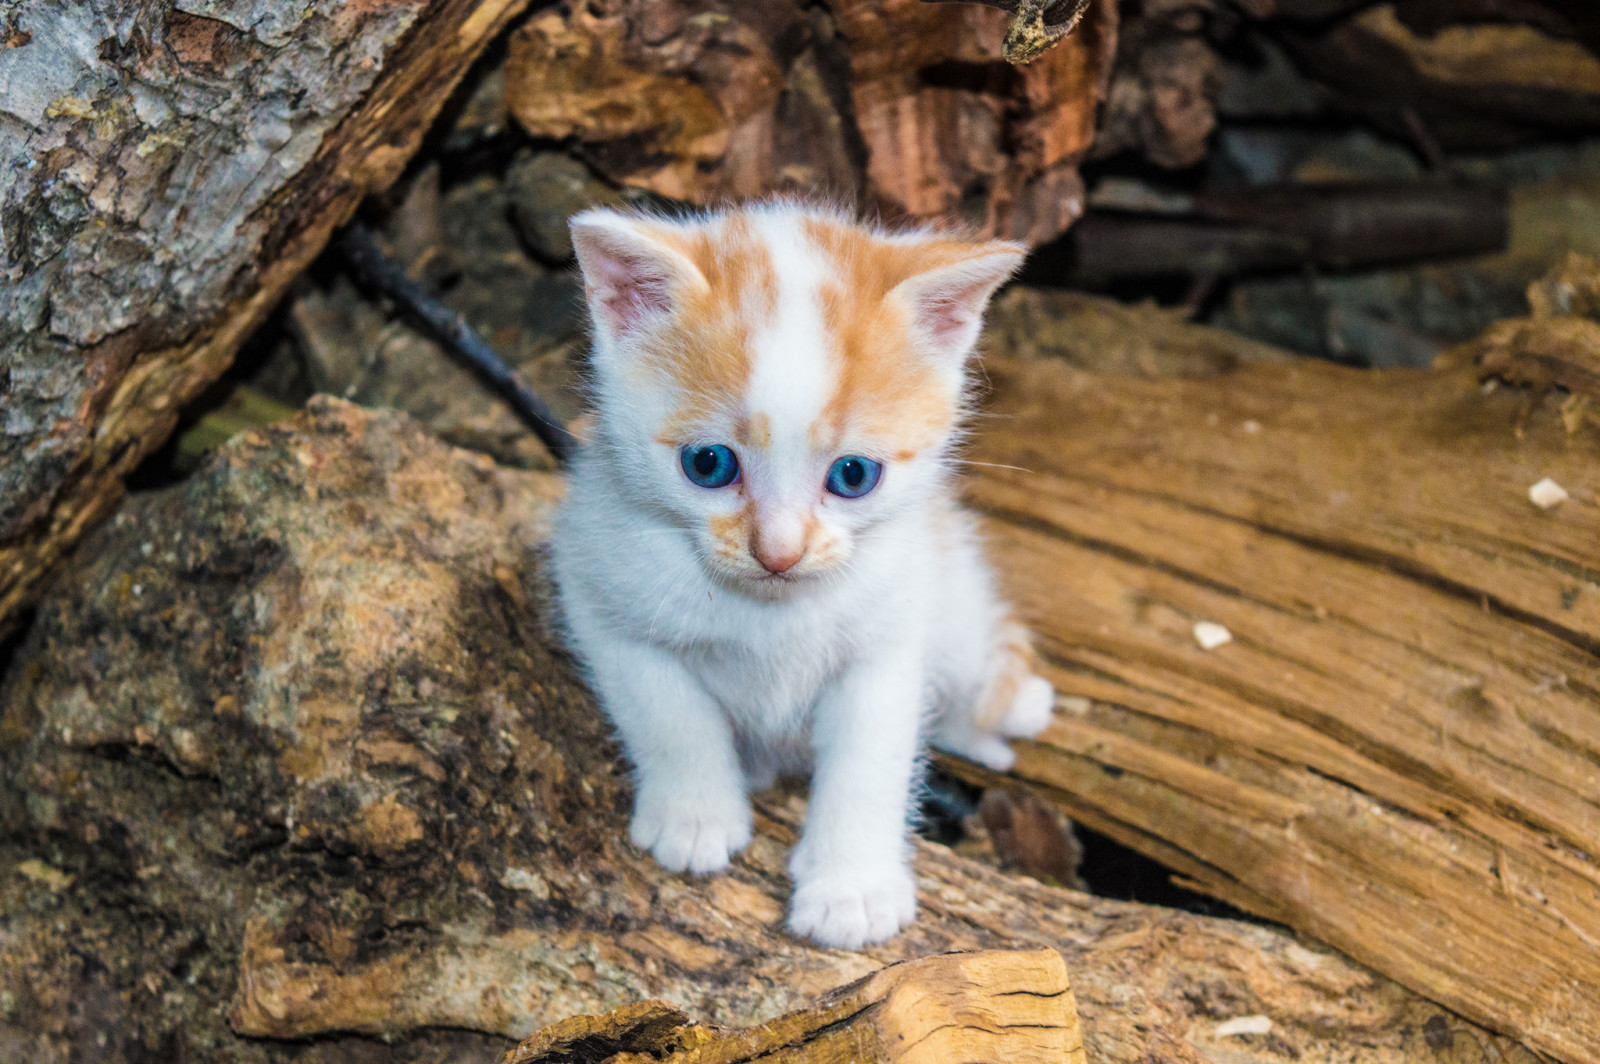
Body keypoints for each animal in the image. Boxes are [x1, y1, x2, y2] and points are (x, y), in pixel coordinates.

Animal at [550, 201, 1062, 947]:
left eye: (853, 476)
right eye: (708, 465)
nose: (779, 552)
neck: (769, 610)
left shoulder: (888, 643)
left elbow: (869, 761)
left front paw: (852, 888)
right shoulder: (597, 586)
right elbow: (668, 712)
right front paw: (694, 814)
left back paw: (1012, 711)